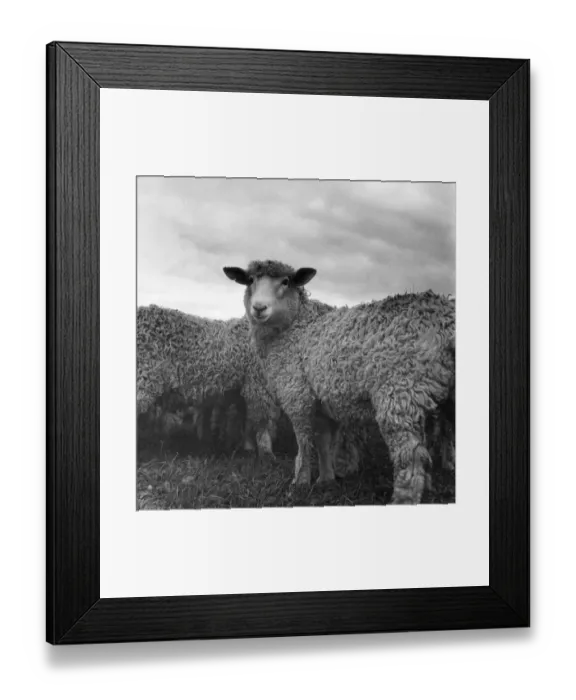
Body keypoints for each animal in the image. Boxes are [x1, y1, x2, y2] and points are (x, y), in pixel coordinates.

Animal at [224, 260, 455, 505]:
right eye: (250, 280)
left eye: (286, 282)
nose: (259, 308)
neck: (296, 329)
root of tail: (445, 320)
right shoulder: (323, 400)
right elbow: (324, 442)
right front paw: (326, 479)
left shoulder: (297, 393)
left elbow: (304, 441)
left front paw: (300, 481)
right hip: (439, 396)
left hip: (398, 393)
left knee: (410, 456)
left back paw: (402, 500)